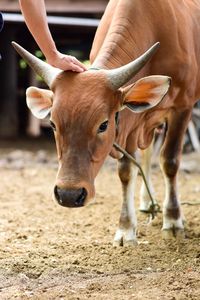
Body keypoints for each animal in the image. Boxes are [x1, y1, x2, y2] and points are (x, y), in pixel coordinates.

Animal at [12, 0, 198, 245]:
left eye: (103, 124)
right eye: (52, 124)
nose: (69, 195)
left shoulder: (183, 108)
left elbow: (170, 161)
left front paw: (174, 220)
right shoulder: (130, 122)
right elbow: (126, 170)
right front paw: (126, 228)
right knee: (147, 152)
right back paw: (147, 203)